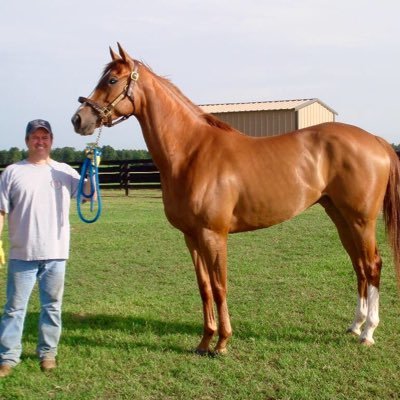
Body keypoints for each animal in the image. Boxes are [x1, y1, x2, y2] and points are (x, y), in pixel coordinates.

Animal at [72, 43, 400, 354]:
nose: (78, 119)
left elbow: (220, 286)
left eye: (112, 79)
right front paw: (204, 341)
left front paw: (222, 342)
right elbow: (204, 287)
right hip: (340, 217)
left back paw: (368, 332)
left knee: (372, 265)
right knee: (358, 265)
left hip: (361, 220)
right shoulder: (191, 237)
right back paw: (355, 326)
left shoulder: (214, 235)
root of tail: (376, 141)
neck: (192, 152)